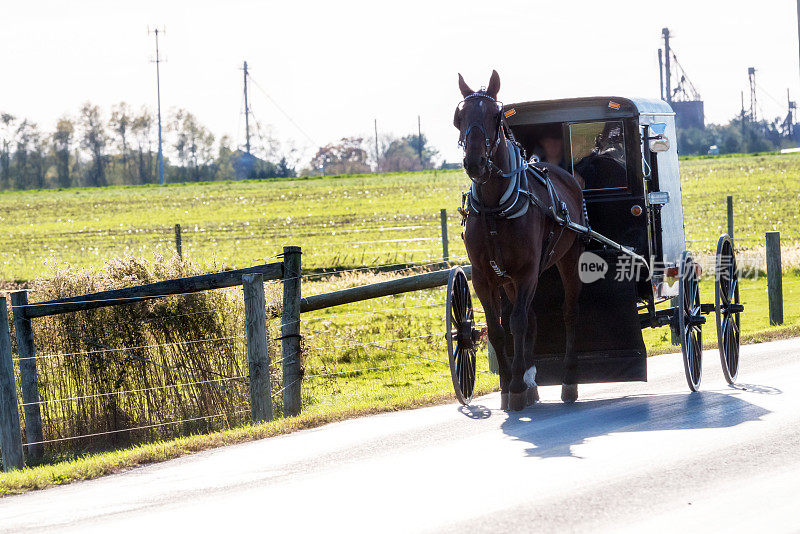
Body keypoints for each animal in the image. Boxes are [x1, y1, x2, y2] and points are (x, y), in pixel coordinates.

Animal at [454, 71, 584, 412]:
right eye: (460, 117)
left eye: (494, 115)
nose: (474, 162)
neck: (494, 208)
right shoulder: (484, 277)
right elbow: (499, 329)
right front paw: (508, 386)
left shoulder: (527, 272)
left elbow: (517, 323)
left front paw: (514, 386)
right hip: (511, 279)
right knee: (531, 318)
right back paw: (530, 383)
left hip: (568, 259)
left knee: (568, 314)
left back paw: (568, 382)